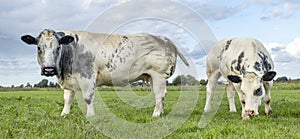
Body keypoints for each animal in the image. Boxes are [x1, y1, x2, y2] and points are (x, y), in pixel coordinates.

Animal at [21, 29, 189, 117]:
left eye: (58, 47)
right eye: (39, 48)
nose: (49, 69)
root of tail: (165, 38)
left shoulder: (87, 76)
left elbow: (88, 98)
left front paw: (90, 116)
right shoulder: (70, 80)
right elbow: (68, 99)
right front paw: (64, 114)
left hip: (158, 74)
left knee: (159, 95)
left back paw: (155, 114)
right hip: (153, 77)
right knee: (161, 94)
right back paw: (161, 112)